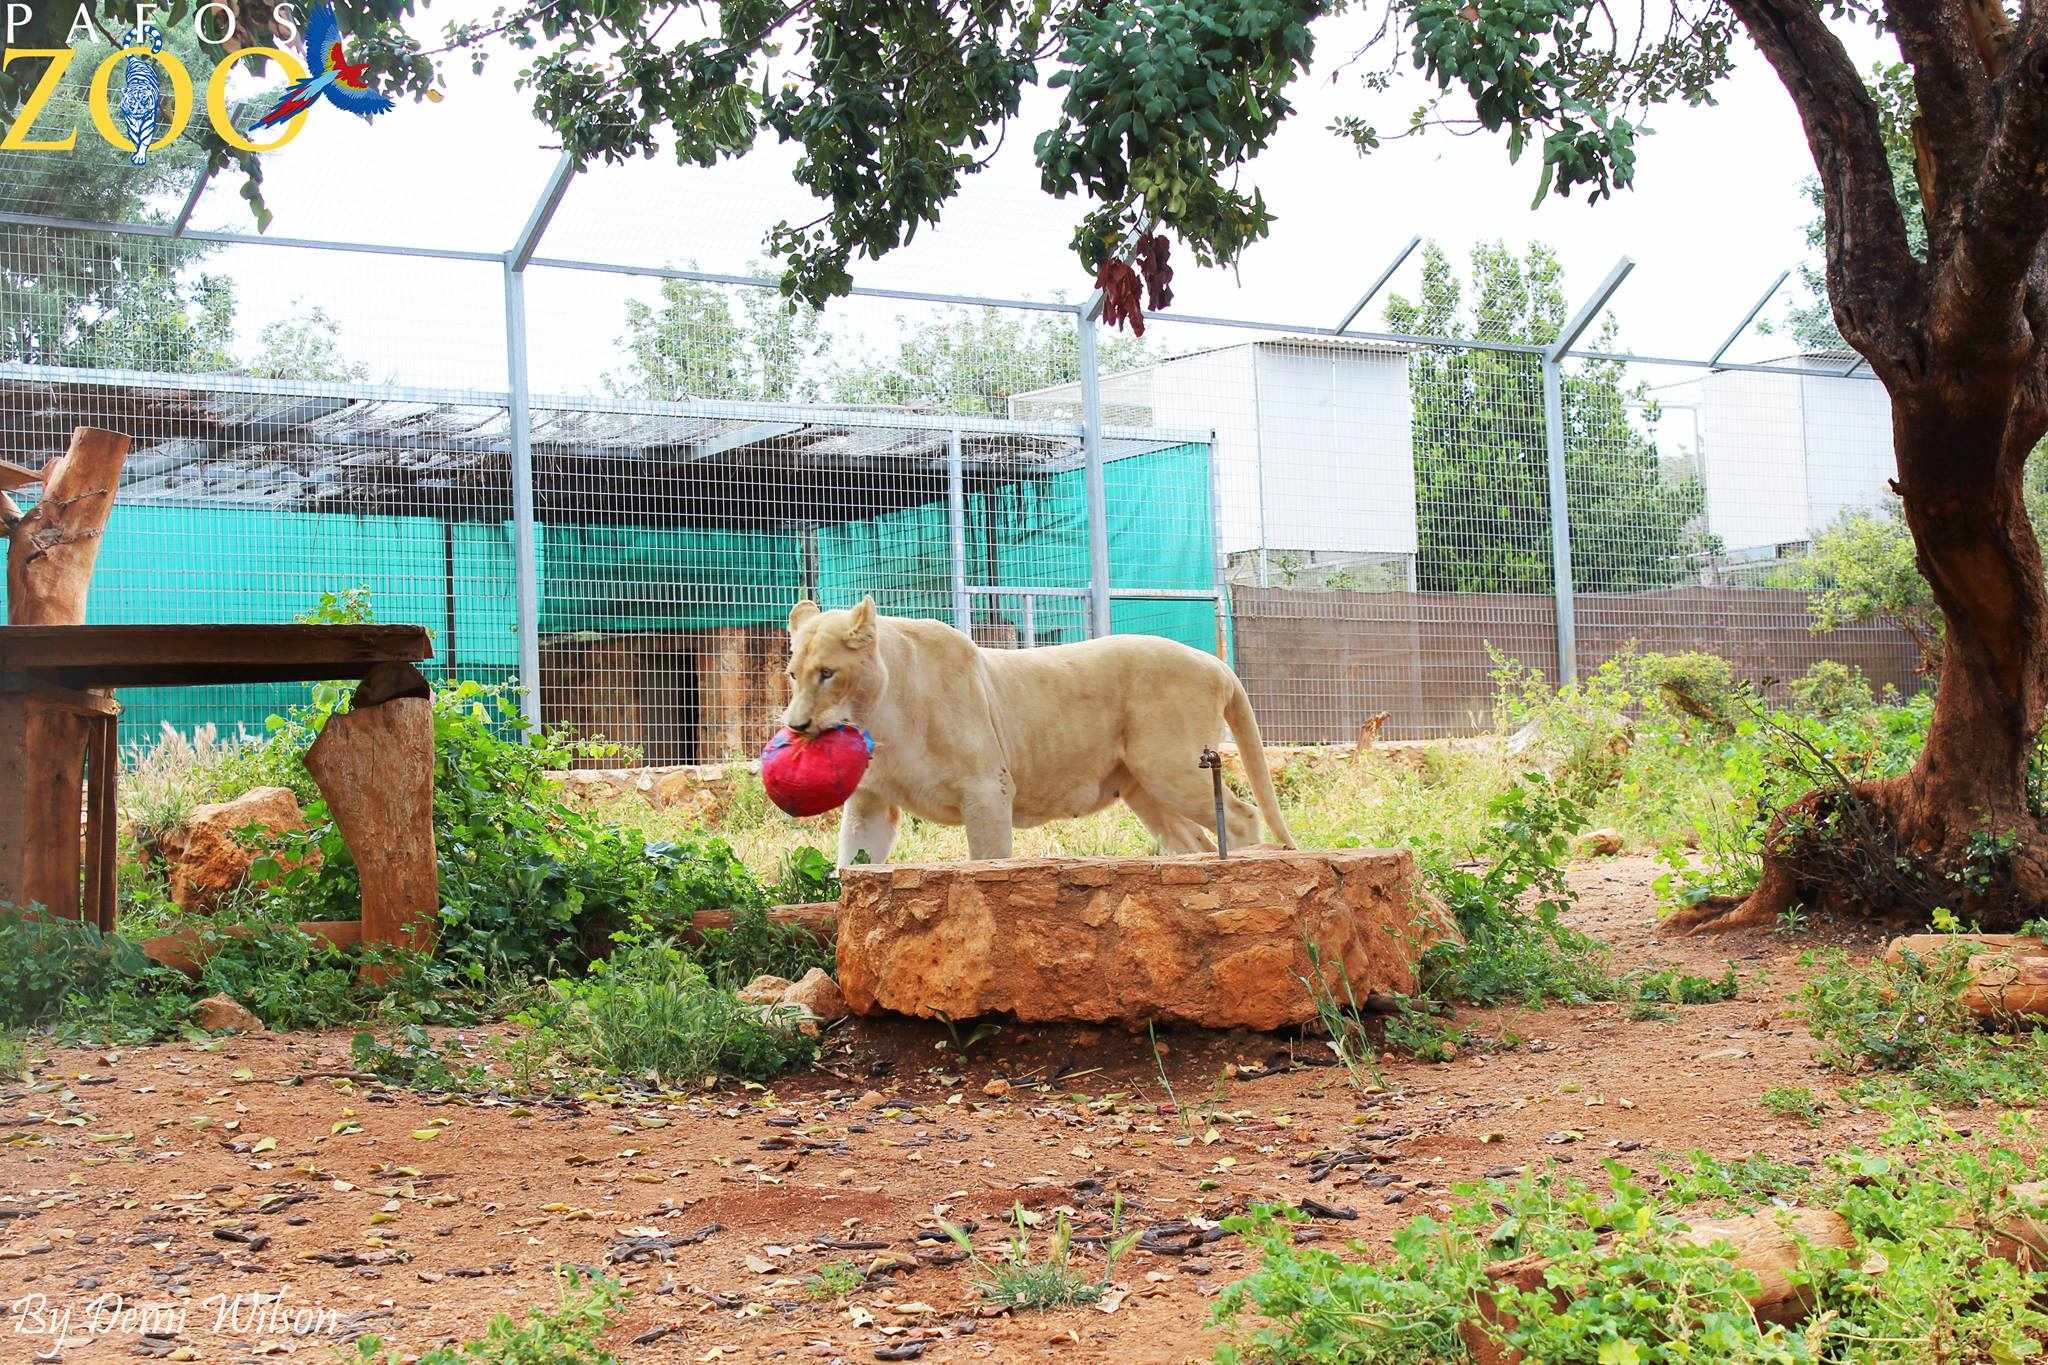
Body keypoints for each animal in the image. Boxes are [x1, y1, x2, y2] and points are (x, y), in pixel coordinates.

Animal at [782, 597, 1294, 863]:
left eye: (827, 673)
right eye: (792, 674)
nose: (796, 726)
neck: (880, 718)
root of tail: (1216, 663)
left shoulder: (986, 789)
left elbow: (986, 862)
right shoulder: (870, 803)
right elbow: (853, 863)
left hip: (1171, 767)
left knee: (1242, 815)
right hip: (1144, 788)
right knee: (1193, 841)